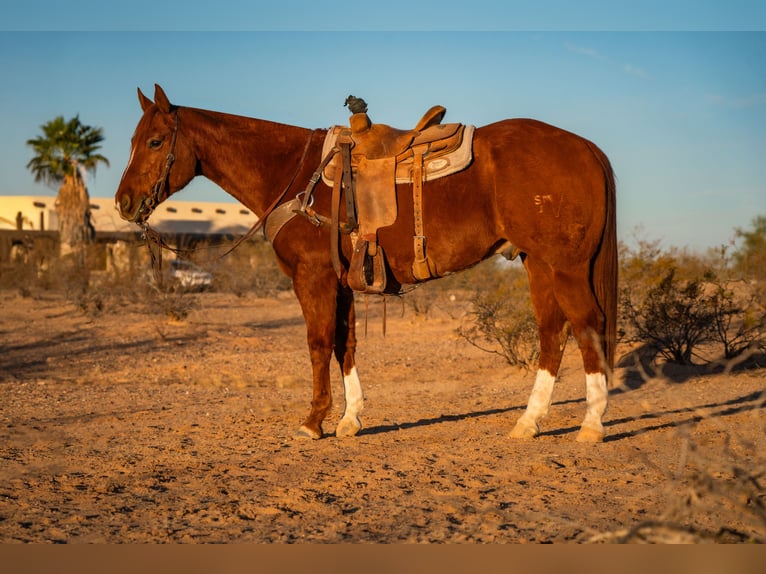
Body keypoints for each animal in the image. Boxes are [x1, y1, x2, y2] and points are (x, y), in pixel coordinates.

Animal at [115, 85, 616, 444]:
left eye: (155, 141)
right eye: (133, 141)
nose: (123, 203)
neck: (295, 175)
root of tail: (586, 147)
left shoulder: (313, 278)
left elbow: (319, 344)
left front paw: (313, 421)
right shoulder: (341, 282)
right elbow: (346, 345)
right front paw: (349, 418)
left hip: (566, 266)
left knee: (586, 324)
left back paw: (591, 424)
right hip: (538, 264)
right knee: (552, 331)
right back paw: (528, 423)